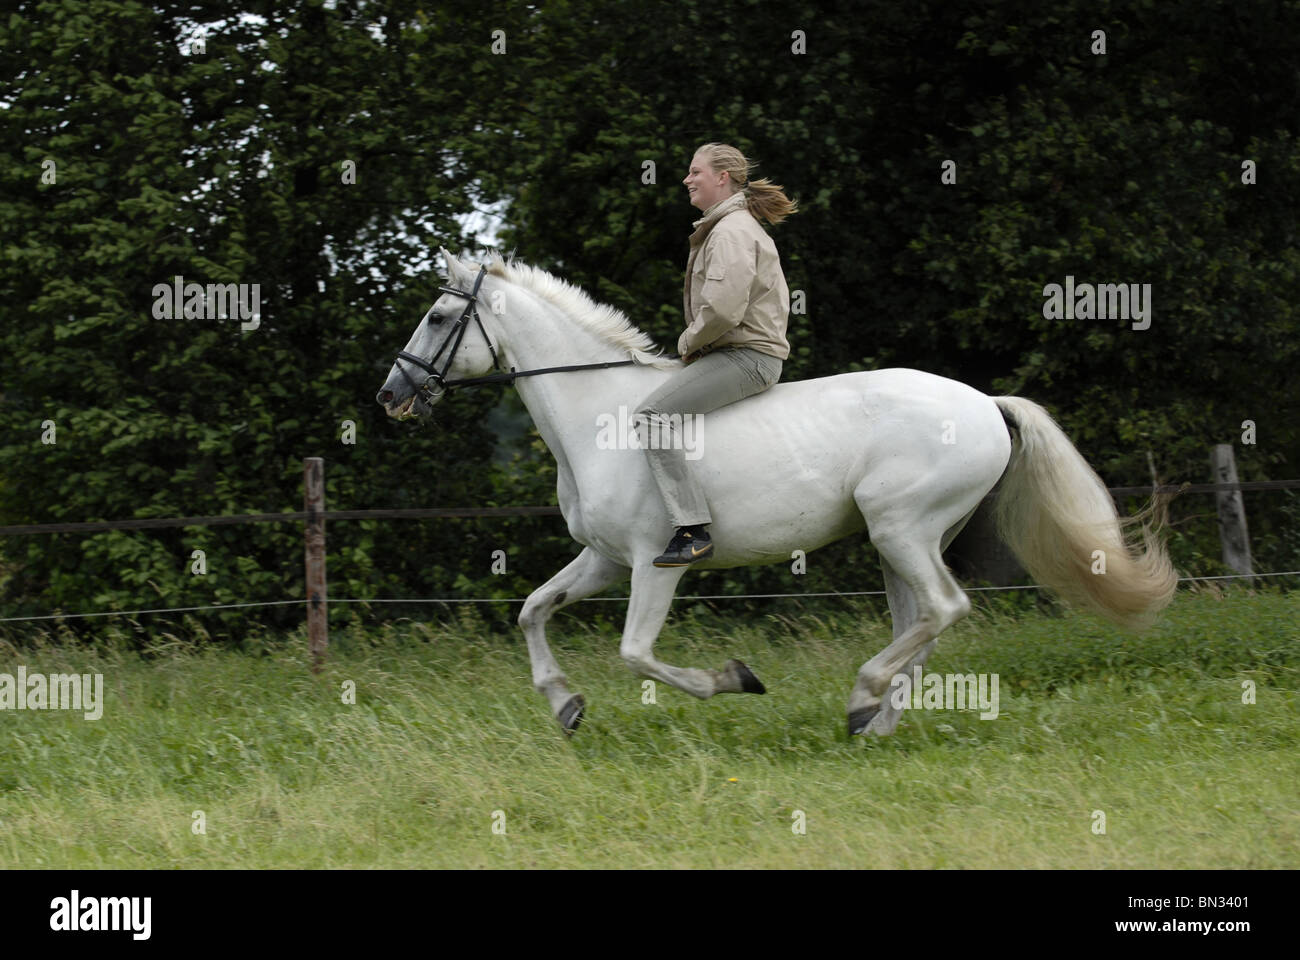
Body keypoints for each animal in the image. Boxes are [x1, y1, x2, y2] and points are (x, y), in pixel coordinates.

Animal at [374, 248, 1180, 733]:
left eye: (439, 317)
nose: (391, 396)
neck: (598, 418)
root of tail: (985, 402)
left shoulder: (655, 564)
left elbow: (637, 653)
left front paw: (733, 680)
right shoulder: (602, 560)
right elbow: (533, 611)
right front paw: (566, 704)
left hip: (901, 527)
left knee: (944, 609)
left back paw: (864, 698)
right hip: (903, 539)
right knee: (925, 621)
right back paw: (875, 719)